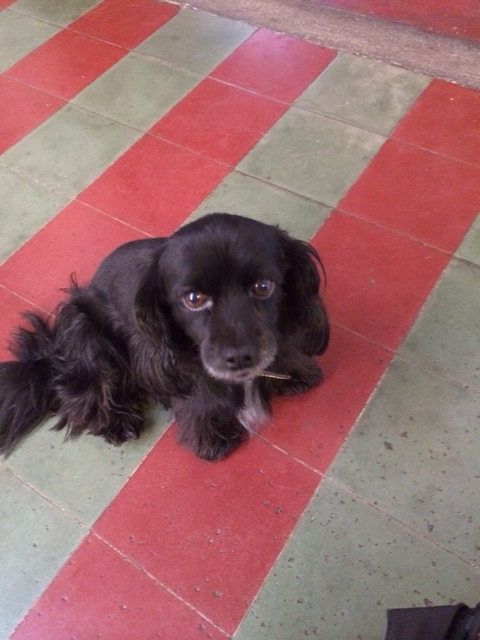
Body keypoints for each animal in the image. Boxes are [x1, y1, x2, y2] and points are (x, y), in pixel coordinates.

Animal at [0, 213, 329, 461]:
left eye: (263, 286)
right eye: (194, 298)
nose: (239, 357)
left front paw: (294, 372)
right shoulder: (171, 358)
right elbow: (200, 394)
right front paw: (211, 434)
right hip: (83, 327)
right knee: (84, 392)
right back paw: (116, 421)